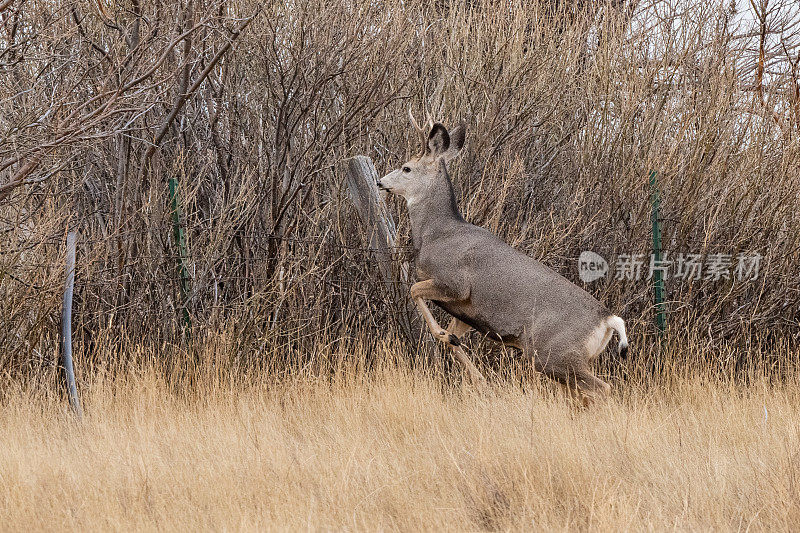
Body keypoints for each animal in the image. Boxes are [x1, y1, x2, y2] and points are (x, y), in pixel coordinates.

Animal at [378, 111, 628, 404]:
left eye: (406, 168)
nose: (380, 182)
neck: (436, 234)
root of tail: (607, 320)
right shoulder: (466, 311)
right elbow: (453, 340)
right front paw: (478, 377)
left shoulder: (455, 284)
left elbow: (414, 290)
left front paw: (442, 335)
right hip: (563, 359)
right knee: (584, 393)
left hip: (554, 353)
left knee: (602, 389)